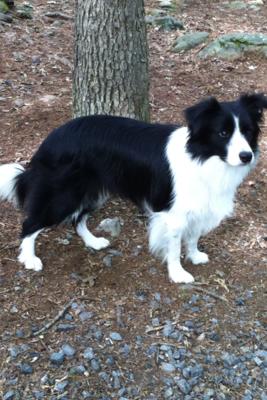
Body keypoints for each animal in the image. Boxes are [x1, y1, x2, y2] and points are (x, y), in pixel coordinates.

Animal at [0, 93, 266, 284]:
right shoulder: (174, 214)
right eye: (223, 133)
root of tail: (49, 140)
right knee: (31, 223)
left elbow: (193, 236)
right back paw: (29, 258)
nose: (246, 156)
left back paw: (93, 242)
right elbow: (174, 246)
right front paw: (178, 274)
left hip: (93, 192)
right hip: (63, 195)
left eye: (248, 131)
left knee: (78, 219)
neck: (203, 156)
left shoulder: (199, 205)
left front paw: (195, 255)